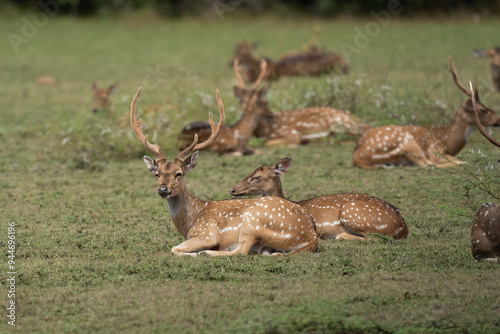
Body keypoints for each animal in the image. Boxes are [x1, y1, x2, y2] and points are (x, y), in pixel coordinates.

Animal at [131, 87, 318, 258]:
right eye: (157, 174)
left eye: (179, 173)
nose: (163, 189)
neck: (190, 223)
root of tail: (311, 236)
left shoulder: (207, 233)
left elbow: (174, 248)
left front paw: (197, 252)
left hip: (252, 220)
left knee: (241, 250)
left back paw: (206, 252)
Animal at [352, 56, 500, 170]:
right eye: (483, 110)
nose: (498, 119)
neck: (448, 141)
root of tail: (356, 156)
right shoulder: (434, 150)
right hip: (407, 142)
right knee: (428, 164)